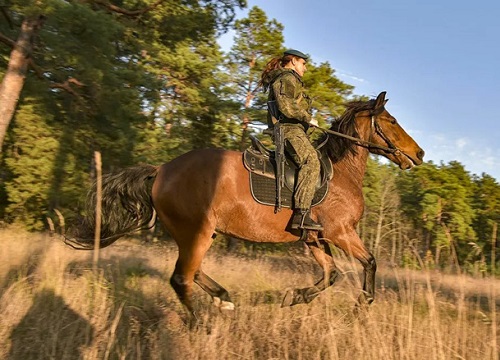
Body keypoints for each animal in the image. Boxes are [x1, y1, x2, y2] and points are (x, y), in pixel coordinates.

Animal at [67, 92, 426, 318]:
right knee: (181, 278)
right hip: (196, 232)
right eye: (392, 121)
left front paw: (293, 297)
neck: (340, 170)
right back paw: (198, 324)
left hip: (199, 233)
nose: (420, 153)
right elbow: (370, 263)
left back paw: (224, 300)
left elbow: (331, 274)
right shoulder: (340, 232)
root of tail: (162, 169)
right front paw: (362, 305)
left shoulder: (315, 237)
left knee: (193, 272)